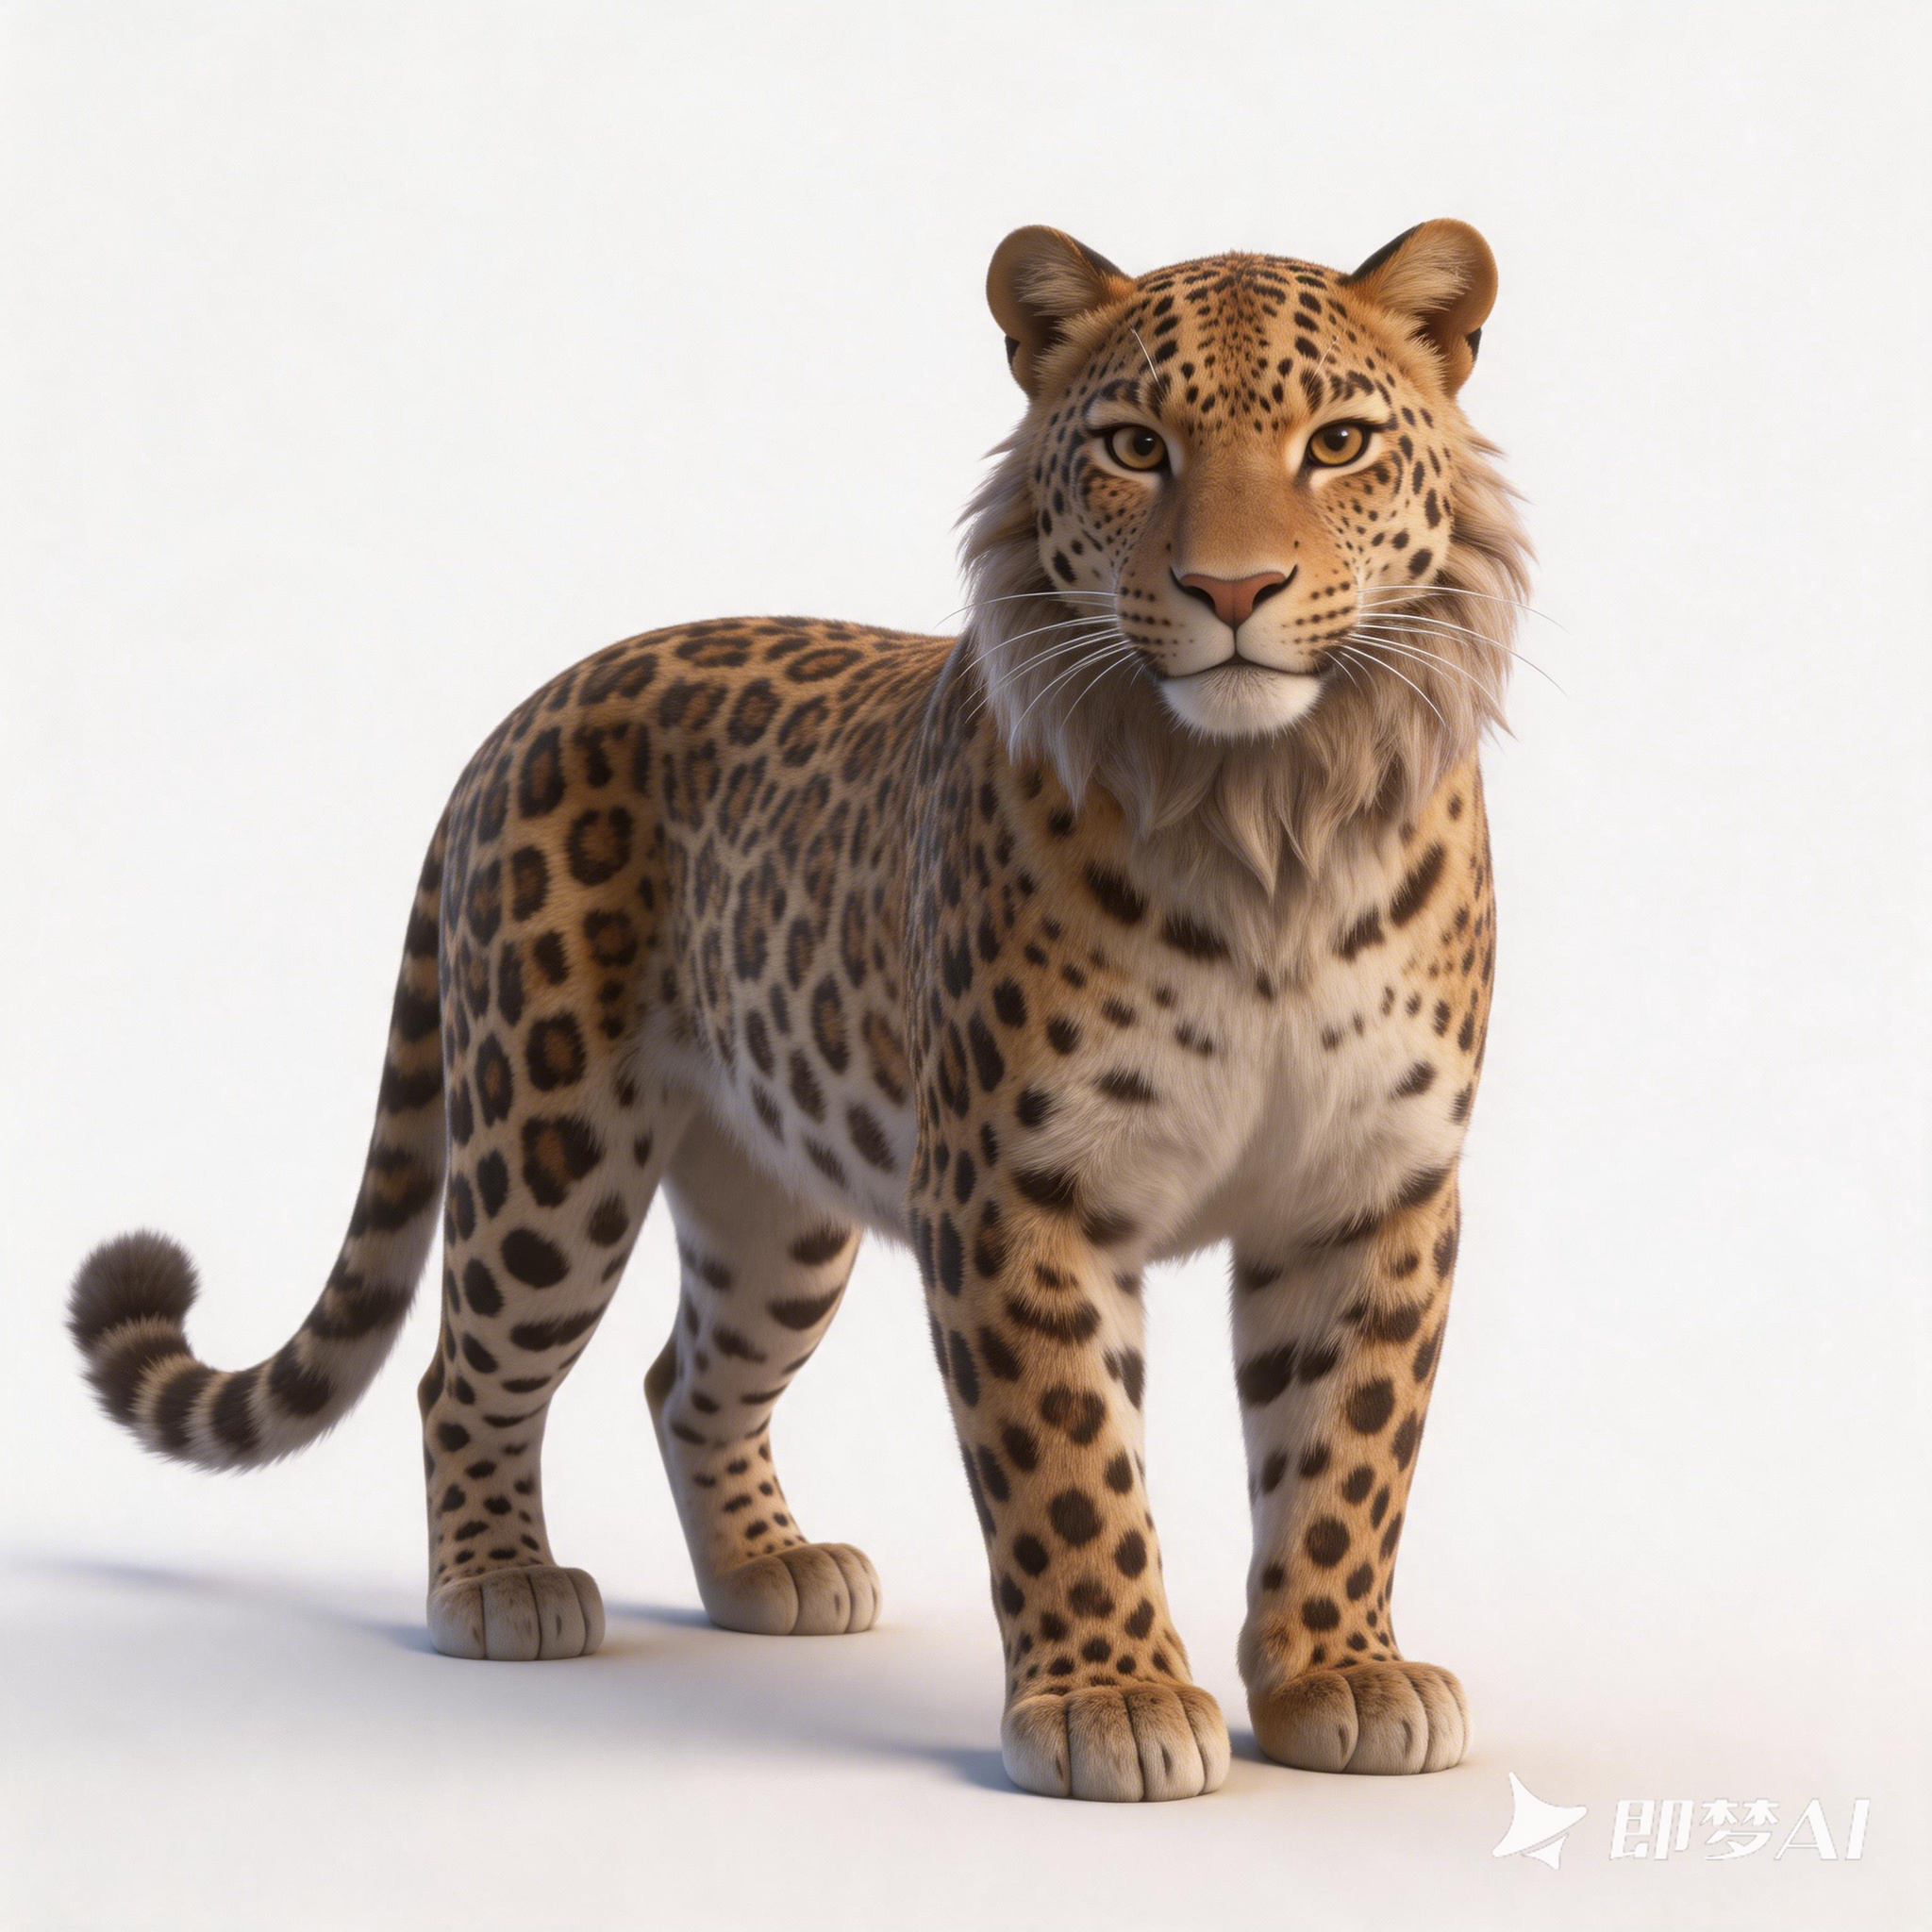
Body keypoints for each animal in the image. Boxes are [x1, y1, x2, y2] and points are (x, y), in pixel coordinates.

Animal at [69, 219, 1530, 1802]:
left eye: (1339, 443)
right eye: (1138, 446)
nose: (1235, 591)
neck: (1266, 817)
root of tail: (523, 712)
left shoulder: (1374, 1188)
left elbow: (1345, 1453)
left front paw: (1341, 1674)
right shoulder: (1016, 1189)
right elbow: (1071, 1462)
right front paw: (1116, 1702)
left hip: (778, 1202)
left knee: (685, 1376)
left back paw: (769, 1570)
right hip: (548, 1148)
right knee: (465, 1369)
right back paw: (500, 1585)